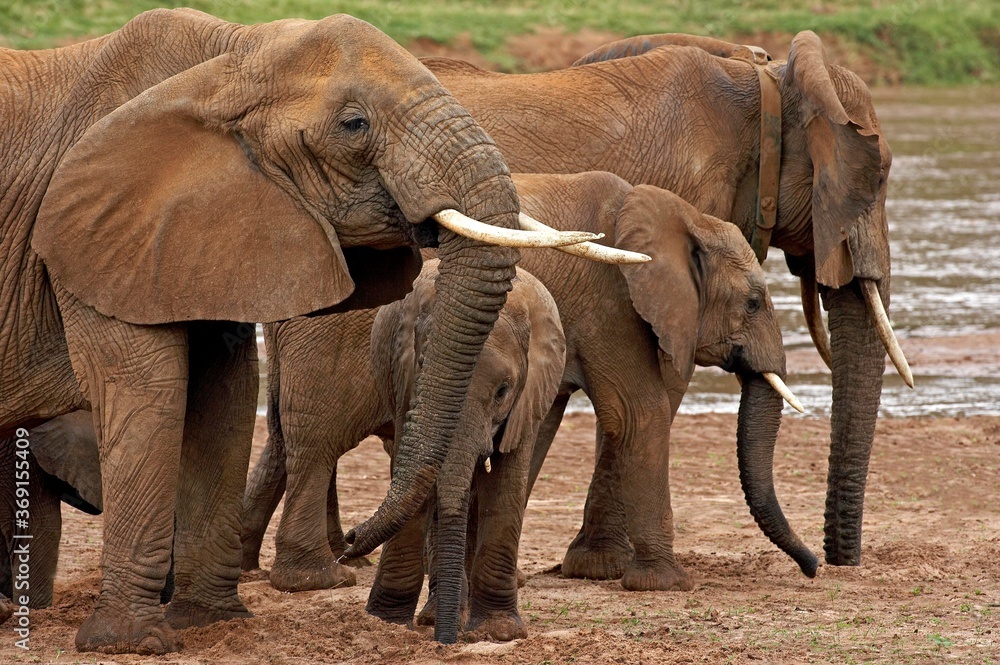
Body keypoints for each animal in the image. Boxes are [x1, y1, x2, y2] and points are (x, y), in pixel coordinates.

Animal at [0, 8, 602, 654]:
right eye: (354, 124)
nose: (358, 538)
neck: (233, 55)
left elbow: (226, 396)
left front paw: (213, 623)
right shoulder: (95, 235)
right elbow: (148, 389)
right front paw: (133, 644)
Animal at [245, 172, 813, 629]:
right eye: (754, 302)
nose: (812, 568)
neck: (679, 215)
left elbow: (534, 432)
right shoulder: (613, 304)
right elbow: (638, 414)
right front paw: (668, 584)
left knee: (283, 443)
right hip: (328, 344)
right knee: (316, 446)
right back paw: (322, 578)